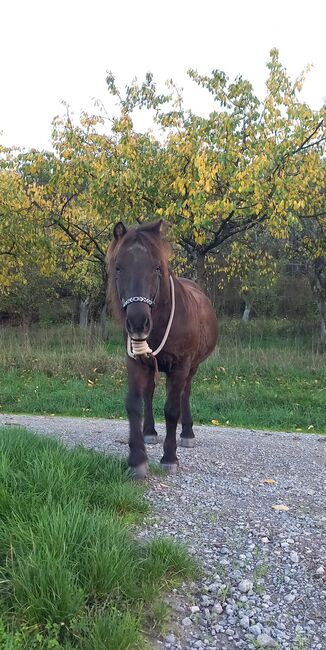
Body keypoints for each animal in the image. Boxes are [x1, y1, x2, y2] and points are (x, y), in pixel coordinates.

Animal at [107, 220, 219, 474]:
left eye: (157, 268)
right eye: (118, 268)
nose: (138, 323)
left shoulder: (181, 365)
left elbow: (171, 409)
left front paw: (170, 458)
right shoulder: (135, 361)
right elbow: (134, 404)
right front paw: (137, 460)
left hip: (190, 368)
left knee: (184, 393)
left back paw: (187, 433)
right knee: (149, 394)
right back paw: (149, 432)